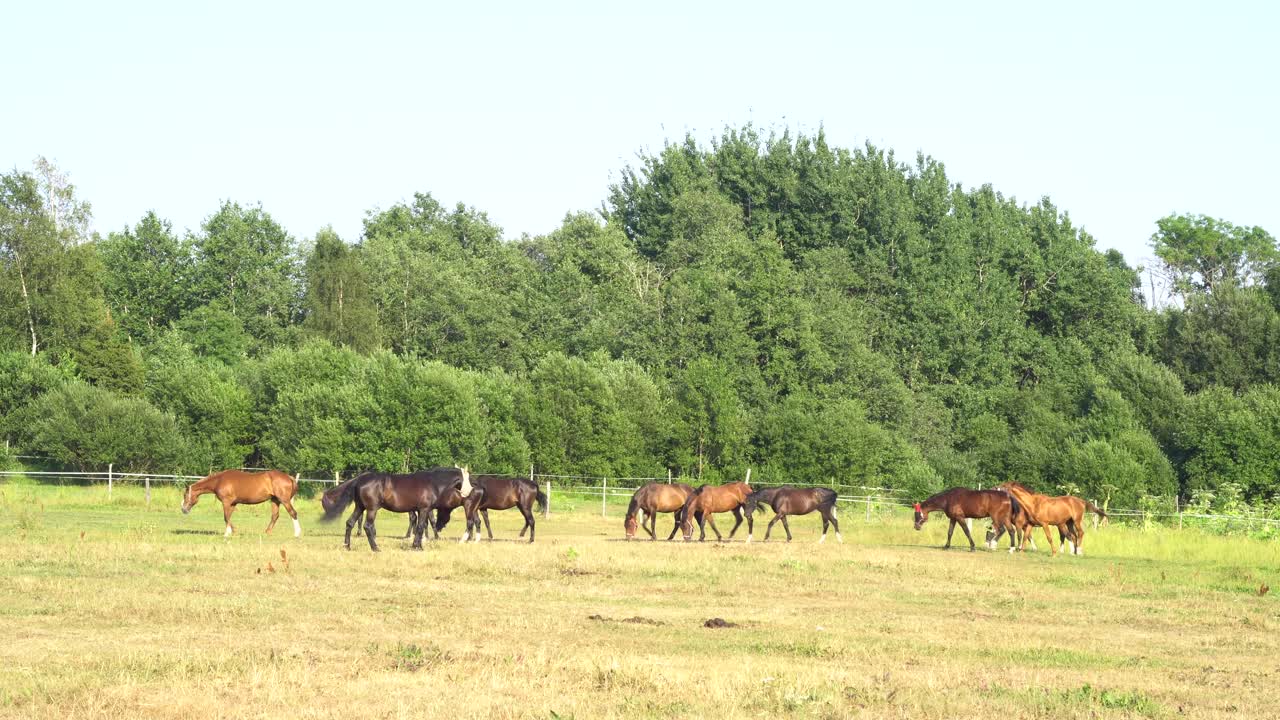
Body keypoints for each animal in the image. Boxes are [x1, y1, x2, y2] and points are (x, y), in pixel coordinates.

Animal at [322, 466, 473, 548]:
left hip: (360, 507)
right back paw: (375, 548)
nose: (470, 491)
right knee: (367, 526)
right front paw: (417, 547)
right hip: (371, 509)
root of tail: (360, 479)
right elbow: (420, 527)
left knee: (350, 523)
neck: (432, 483)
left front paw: (417, 545)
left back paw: (347, 546)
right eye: (466, 479)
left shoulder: (420, 510)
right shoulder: (424, 509)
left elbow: (420, 527)